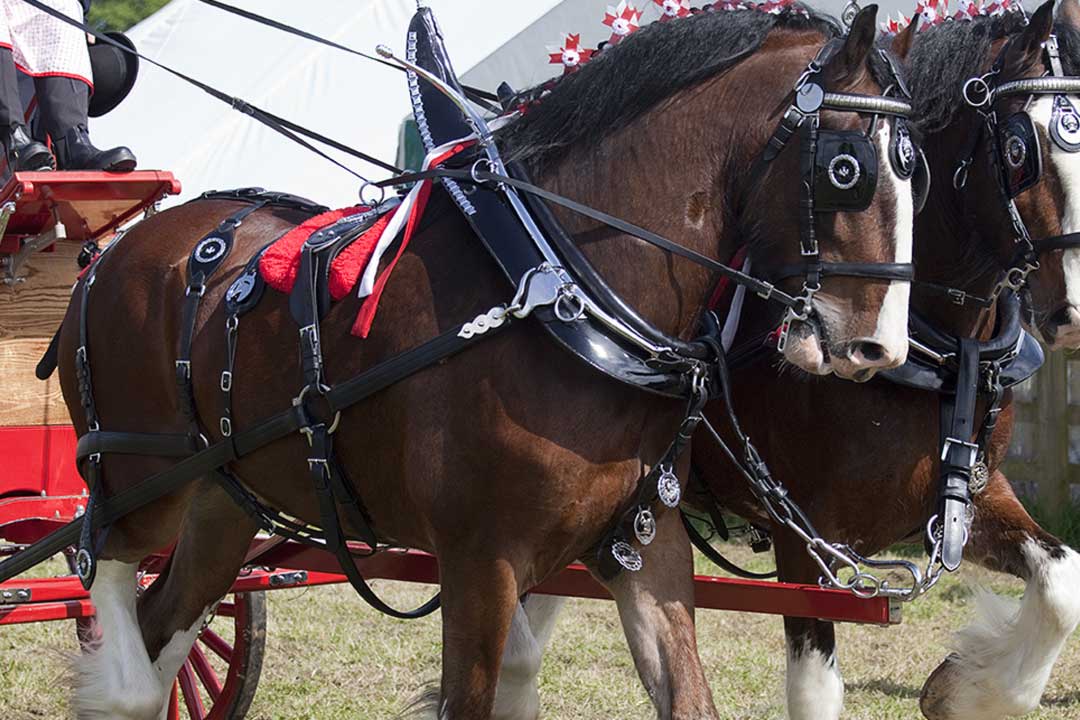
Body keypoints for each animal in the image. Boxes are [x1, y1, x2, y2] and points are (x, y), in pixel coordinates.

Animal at [50, 5, 911, 720]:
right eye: (846, 169)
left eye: (919, 172)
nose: (880, 347)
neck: (563, 292)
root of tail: (112, 252)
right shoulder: (480, 565)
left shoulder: (642, 543)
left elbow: (686, 697)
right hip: (137, 476)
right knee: (107, 584)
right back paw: (119, 676)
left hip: (225, 501)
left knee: (166, 625)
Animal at [494, 1, 1080, 720]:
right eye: (1022, 149)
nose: (1075, 306)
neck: (939, 346)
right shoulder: (802, 534)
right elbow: (815, 687)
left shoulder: (971, 492)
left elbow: (1061, 582)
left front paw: (963, 688)